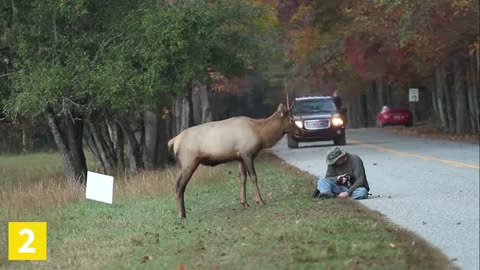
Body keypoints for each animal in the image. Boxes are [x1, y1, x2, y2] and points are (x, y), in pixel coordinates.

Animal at [169, 96, 302, 217]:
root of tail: (174, 141)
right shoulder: (247, 153)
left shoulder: (239, 157)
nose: (301, 132)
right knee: (179, 185)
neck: (261, 136)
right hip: (188, 162)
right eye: (291, 119)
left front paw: (245, 203)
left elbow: (242, 178)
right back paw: (181, 214)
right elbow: (253, 176)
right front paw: (260, 200)